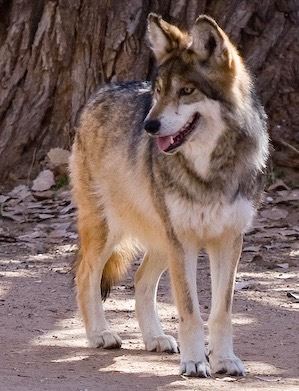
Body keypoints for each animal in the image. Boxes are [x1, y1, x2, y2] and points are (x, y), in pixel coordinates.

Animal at [70, 13, 270, 378]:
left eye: (186, 91)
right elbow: (190, 311)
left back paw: (155, 338)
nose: (149, 126)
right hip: (111, 231)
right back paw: (100, 334)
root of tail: (101, 91)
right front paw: (194, 362)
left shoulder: (228, 241)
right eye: (160, 91)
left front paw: (224, 360)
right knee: (86, 275)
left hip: (162, 239)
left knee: (139, 280)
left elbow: (221, 312)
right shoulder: (185, 242)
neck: (209, 171)